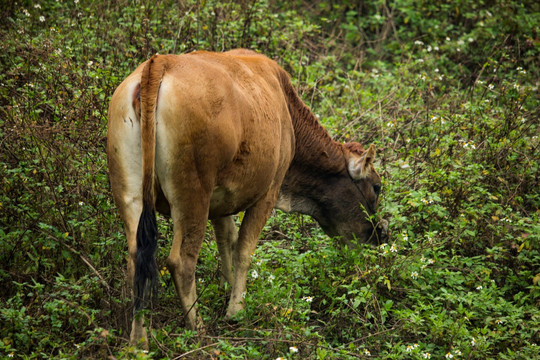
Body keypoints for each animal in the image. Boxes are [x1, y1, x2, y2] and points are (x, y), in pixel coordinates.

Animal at [106, 47, 388, 346]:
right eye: (377, 186)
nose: (381, 234)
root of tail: (160, 63)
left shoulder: (220, 200)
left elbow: (226, 240)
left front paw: (227, 288)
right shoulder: (268, 193)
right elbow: (243, 249)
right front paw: (235, 310)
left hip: (131, 193)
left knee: (137, 259)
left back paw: (138, 341)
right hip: (193, 195)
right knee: (181, 262)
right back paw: (199, 331)